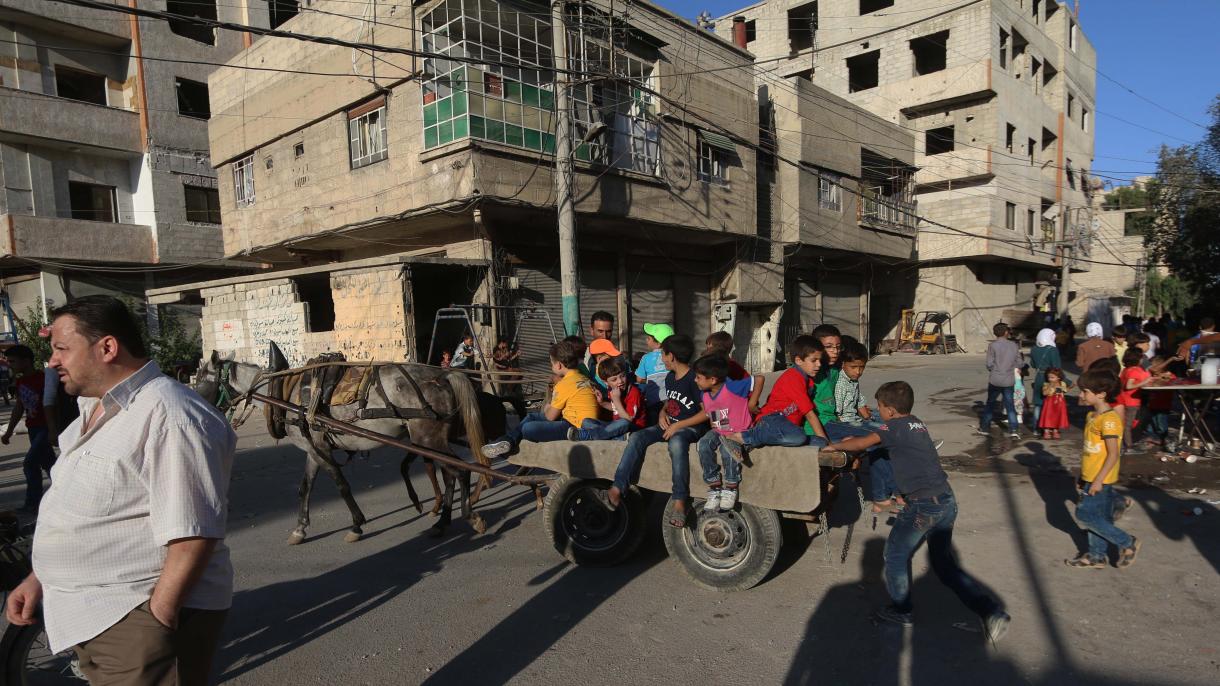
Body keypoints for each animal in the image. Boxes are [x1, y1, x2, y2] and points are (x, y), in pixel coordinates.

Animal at [193, 349, 495, 541]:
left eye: (200, 381)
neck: (284, 395)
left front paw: (356, 525)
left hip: (427, 438)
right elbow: (305, 487)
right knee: (451, 474)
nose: (196, 402)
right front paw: (300, 529)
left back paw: (470, 516)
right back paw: (442, 522)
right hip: (433, 440)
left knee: (460, 471)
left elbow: (341, 484)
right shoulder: (313, 447)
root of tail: (443, 376)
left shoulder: (321, 449)